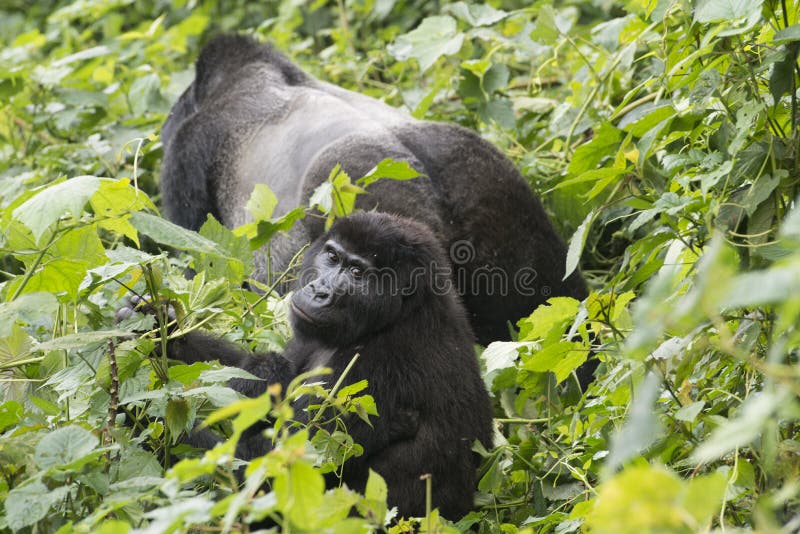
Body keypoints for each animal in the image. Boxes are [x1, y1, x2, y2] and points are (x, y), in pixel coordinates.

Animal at [150, 211, 494, 520]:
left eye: (357, 272)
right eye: (331, 256)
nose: (319, 291)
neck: (402, 312)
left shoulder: (374, 369)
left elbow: (264, 472)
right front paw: (160, 329)